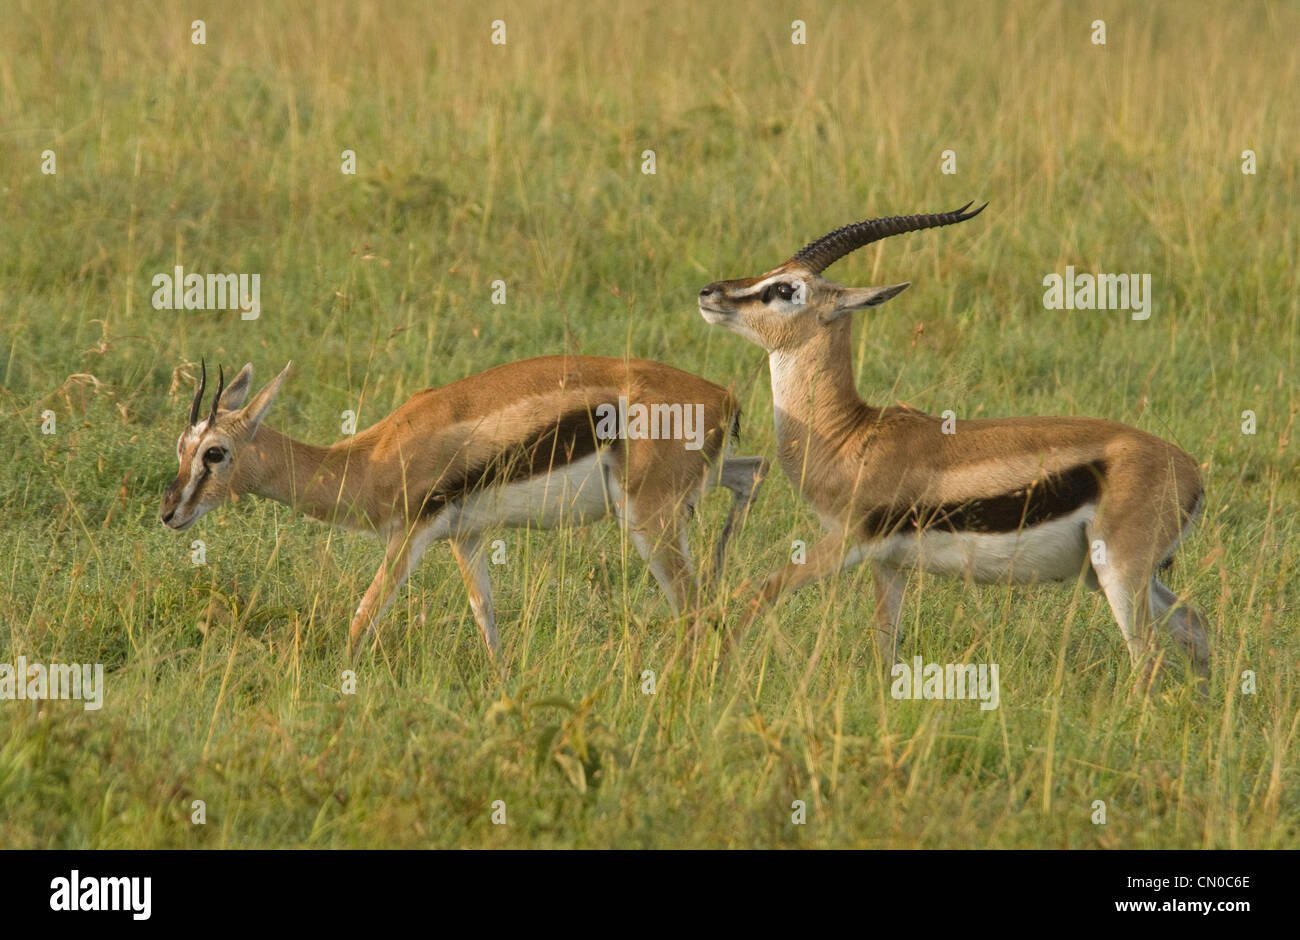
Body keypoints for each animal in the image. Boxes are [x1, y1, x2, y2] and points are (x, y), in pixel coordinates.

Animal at [159, 357, 768, 657]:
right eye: (181, 447)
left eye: (215, 452)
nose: (169, 512)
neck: (373, 456)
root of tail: (723, 397)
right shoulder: (465, 537)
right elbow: (486, 614)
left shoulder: (409, 537)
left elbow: (363, 616)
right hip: (689, 491)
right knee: (752, 474)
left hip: (647, 518)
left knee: (692, 606)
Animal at [697, 203, 1210, 685]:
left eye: (785, 289)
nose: (708, 293)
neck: (850, 436)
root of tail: (1191, 470)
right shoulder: (889, 564)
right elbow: (886, 643)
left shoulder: (846, 541)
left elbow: (756, 592)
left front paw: (715, 672)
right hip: (1104, 575)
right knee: (1194, 623)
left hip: (1119, 572)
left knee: (1147, 659)